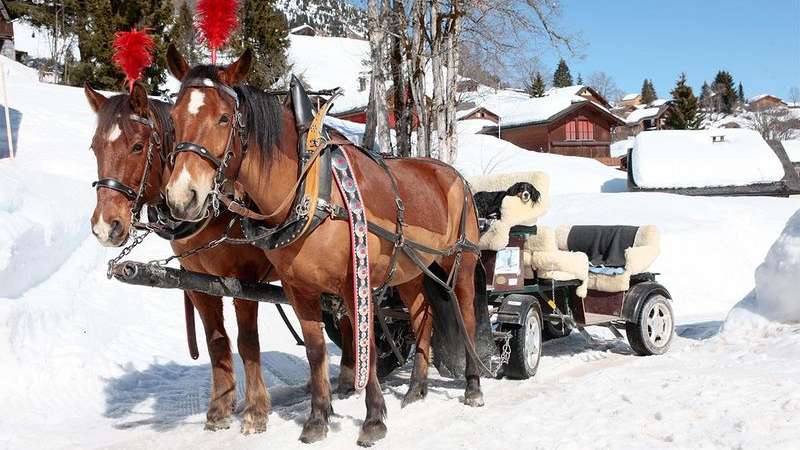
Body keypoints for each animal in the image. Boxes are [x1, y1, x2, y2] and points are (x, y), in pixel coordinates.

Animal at [84, 81, 273, 434]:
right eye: (94, 148)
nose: (105, 226)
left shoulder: (245, 280)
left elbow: (248, 343)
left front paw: (255, 411)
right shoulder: (199, 282)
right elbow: (216, 342)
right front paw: (219, 409)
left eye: (137, 146)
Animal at [162, 45, 484, 446]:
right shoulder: (298, 288)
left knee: (466, 315)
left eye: (223, 118)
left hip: (461, 261)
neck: (313, 191)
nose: (182, 197)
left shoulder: (355, 283)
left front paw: (373, 419)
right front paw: (317, 418)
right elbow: (315, 350)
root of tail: (454, 175)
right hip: (409, 270)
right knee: (421, 316)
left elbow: (368, 347)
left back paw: (473, 385)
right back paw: (415, 389)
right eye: (173, 118)